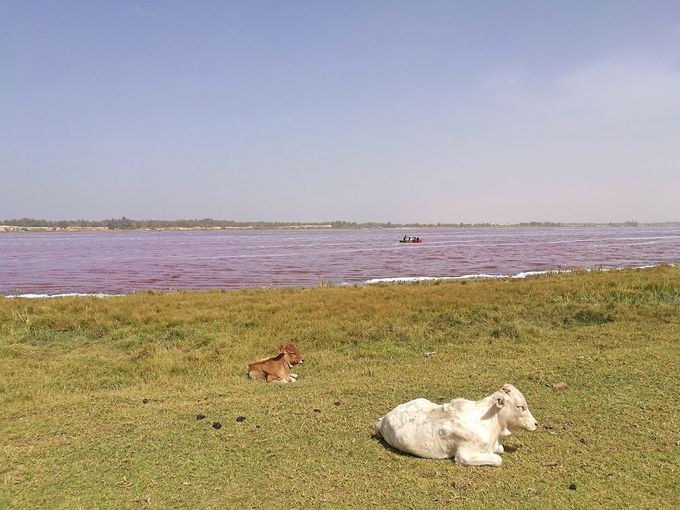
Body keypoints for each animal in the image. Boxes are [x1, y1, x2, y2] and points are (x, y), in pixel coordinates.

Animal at [374, 382, 540, 466]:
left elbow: (500, 449)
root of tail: (383, 419)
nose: (536, 423)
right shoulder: (464, 455)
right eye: (520, 407)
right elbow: (498, 459)